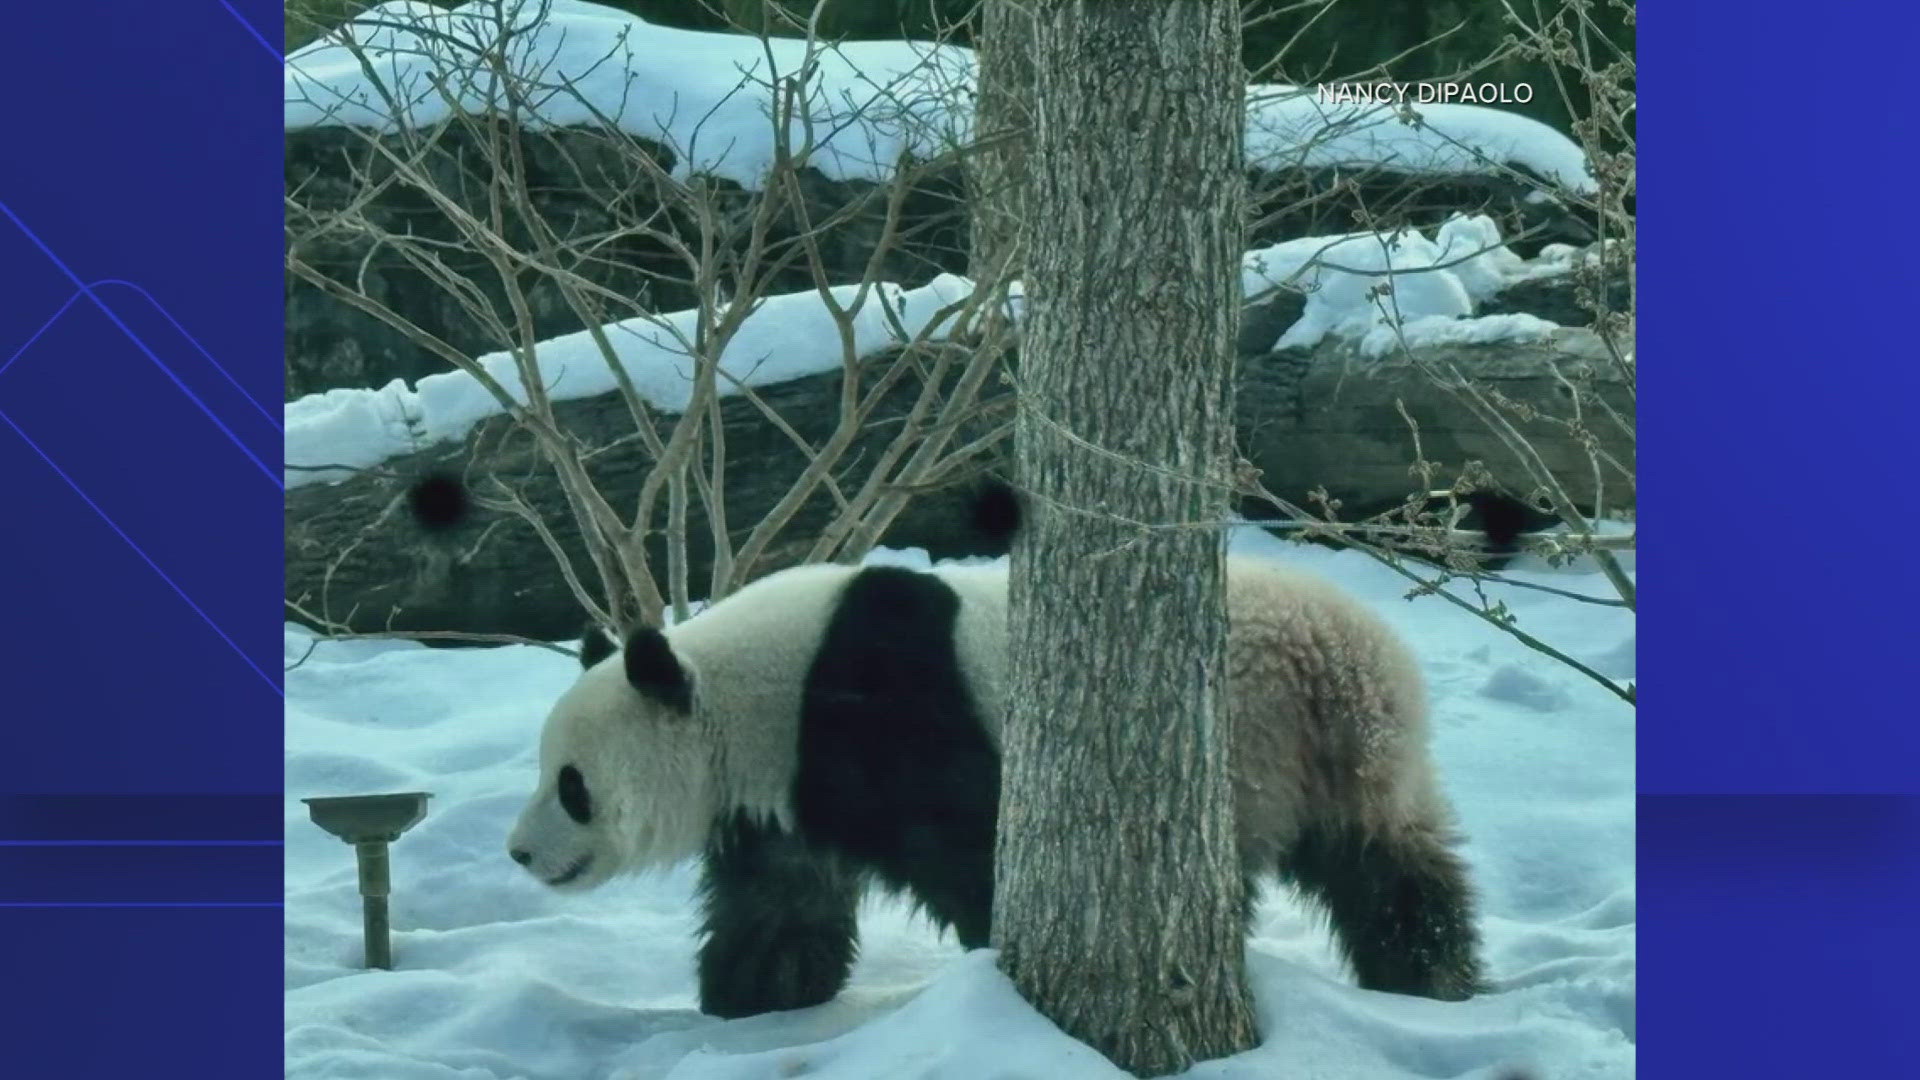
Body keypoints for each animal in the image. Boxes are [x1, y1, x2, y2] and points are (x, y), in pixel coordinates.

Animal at [506, 527, 1484, 1018]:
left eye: (572, 786)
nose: (518, 853)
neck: (751, 691)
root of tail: (1352, 654)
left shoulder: (891, 711)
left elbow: (970, 847)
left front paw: (1003, 961)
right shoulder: (783, 789)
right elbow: (782, 900)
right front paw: (755, 998)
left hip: (1267, 742)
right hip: (1347, 759)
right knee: (1391, 868)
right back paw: (1428, 974)